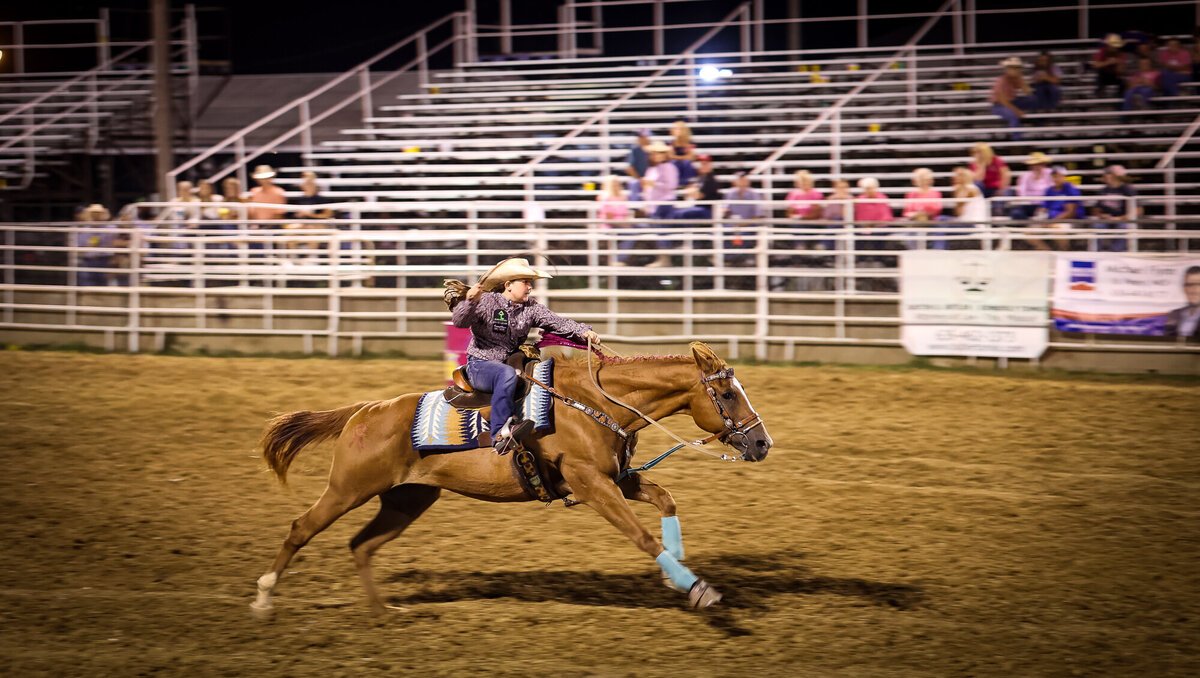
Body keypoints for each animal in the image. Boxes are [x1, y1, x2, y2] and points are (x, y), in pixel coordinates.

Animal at [255, 343, 777, 614]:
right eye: (727, 394)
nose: (761, 443)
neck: (594, 404)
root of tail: (363, 411)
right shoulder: (591, 484)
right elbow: (641, 535)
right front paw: (696, 587)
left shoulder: (618, 478)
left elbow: (666, 501)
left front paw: (677, 573)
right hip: (349, 488)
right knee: (302, 527)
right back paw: (264, 597)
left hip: (408, 499)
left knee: (361, 546)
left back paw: (383, 612)